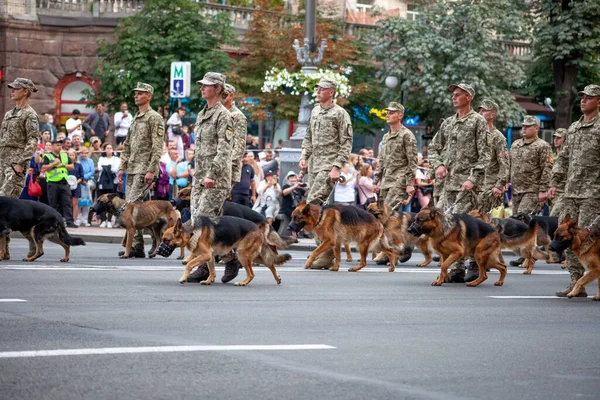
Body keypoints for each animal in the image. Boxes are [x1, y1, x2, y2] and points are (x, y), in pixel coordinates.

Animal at [159, 217, 290, 286]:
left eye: (166, 240)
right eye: (163, 239)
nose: (158, 251)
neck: (191, 232)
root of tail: (259, 230)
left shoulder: (205, 255)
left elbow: (189, 264)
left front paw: (183, 278)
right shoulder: (209, 257)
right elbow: (212, 270)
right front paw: (209, 281)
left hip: (242, 255)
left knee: (252, 273)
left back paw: (243, 283)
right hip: (253, 256)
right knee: (270, 263)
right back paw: (277, 278)